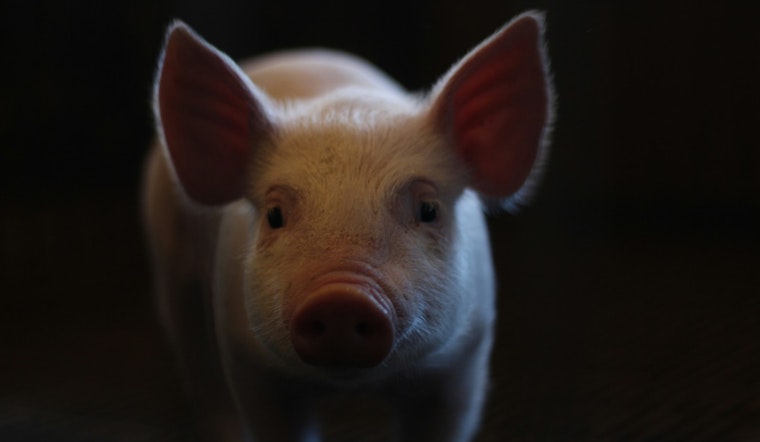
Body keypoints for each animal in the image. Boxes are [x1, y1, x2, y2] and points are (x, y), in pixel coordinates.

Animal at [142, 10, 554, 442]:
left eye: (428, 209)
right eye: (274, 214)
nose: (341, 297)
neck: (352, 387)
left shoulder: (464, 360)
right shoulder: (249, 363)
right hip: (172, 269)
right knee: (198, 363)